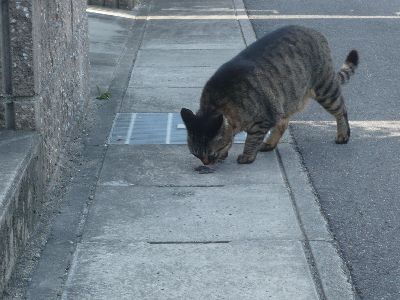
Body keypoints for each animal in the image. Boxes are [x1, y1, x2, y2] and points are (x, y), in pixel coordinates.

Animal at [181, 25, 360, 166]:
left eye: (210, 154)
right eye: (196, 154)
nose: (206, 163)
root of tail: (314, 31)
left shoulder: (263, 119)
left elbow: (252, 139)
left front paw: (247, 156)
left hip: (325, 89)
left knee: (341, 110)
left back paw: (343, 135)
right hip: (285, 99)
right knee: (283, 123)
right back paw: (270, 144)